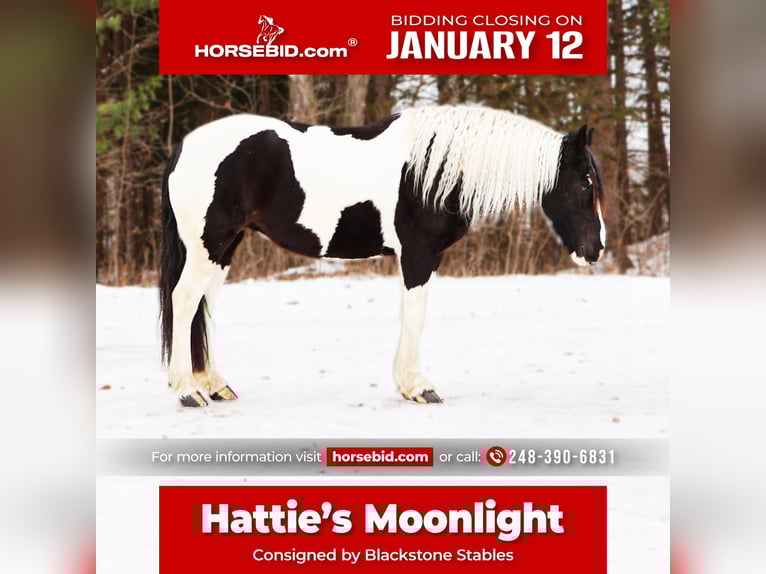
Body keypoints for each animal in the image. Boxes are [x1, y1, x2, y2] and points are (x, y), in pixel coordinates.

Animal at [159, 106, 606, 407]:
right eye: (585, 182)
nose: (596, 250)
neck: (435, 168)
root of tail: (183, 147)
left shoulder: (423, 258)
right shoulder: (418, 256)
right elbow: (414, 315)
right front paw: (418, 387)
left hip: (223, 249)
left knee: (203, 307)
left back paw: (214, 385)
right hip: (207, 246)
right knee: (184, 301)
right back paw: (187, 391)